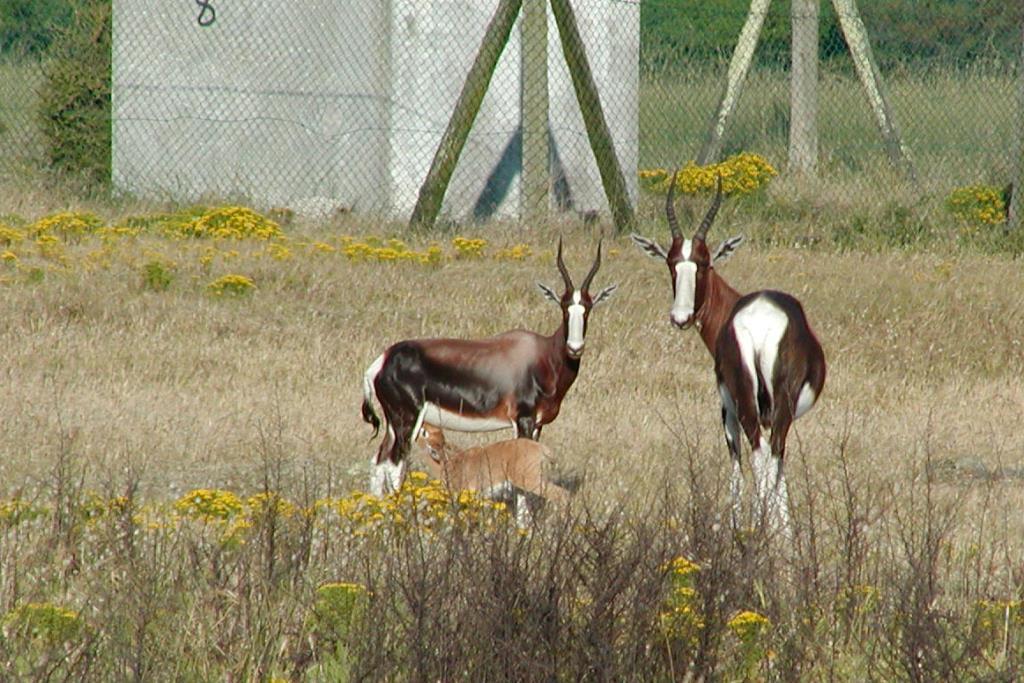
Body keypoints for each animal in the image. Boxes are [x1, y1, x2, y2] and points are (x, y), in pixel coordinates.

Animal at [413, 423, 577, 528]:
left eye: (424, 431)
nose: (434, 448)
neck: (449, 464)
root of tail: (541, 448)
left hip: (532, 482)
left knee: (563, 495)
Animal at [626, 174, 827, 536]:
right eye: (672, 263)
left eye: (703, 263)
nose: (680, 317)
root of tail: (759, 322)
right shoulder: (745, 411)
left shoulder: (734, 411)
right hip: (768, 408)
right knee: (766, 458)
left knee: (761, 458)